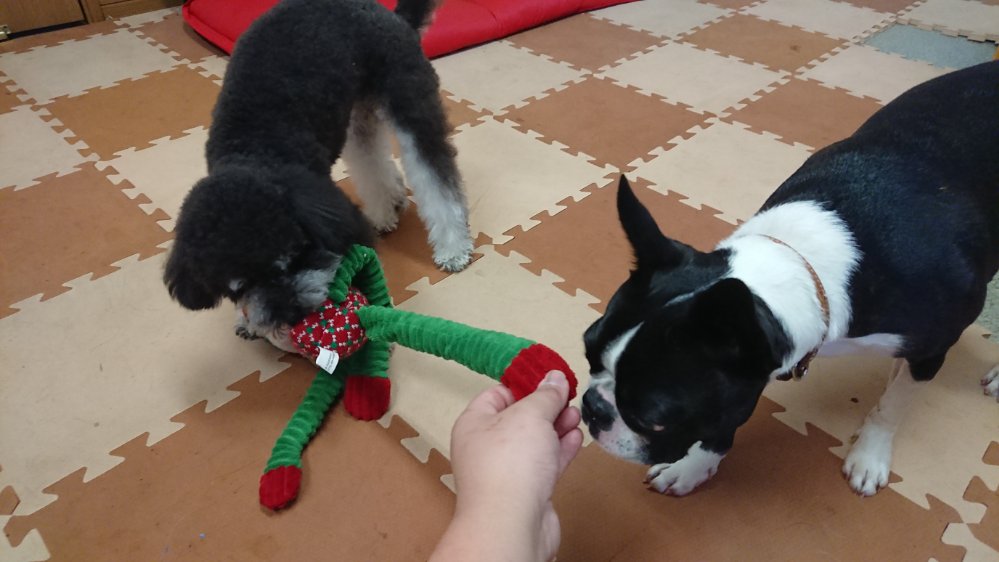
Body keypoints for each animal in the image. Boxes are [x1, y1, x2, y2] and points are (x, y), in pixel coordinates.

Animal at [164, 0, 472, 347]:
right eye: (239, 286)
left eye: (293, 258)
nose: (291, 313)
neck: (252, 151)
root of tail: (390, 15)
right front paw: (246, 321)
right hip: (358, 115)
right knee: (373, 161)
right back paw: (386, 210)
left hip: (408, 97)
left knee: (435, 176)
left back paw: (452, 247)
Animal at [581, 61, 999, 497]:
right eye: (587, 348)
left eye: (652, 418)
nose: (592, 408)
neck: (804, 261)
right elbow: (723, 424)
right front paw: (693, 466)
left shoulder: (934, 346)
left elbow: (892, 407)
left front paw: (870, 455)